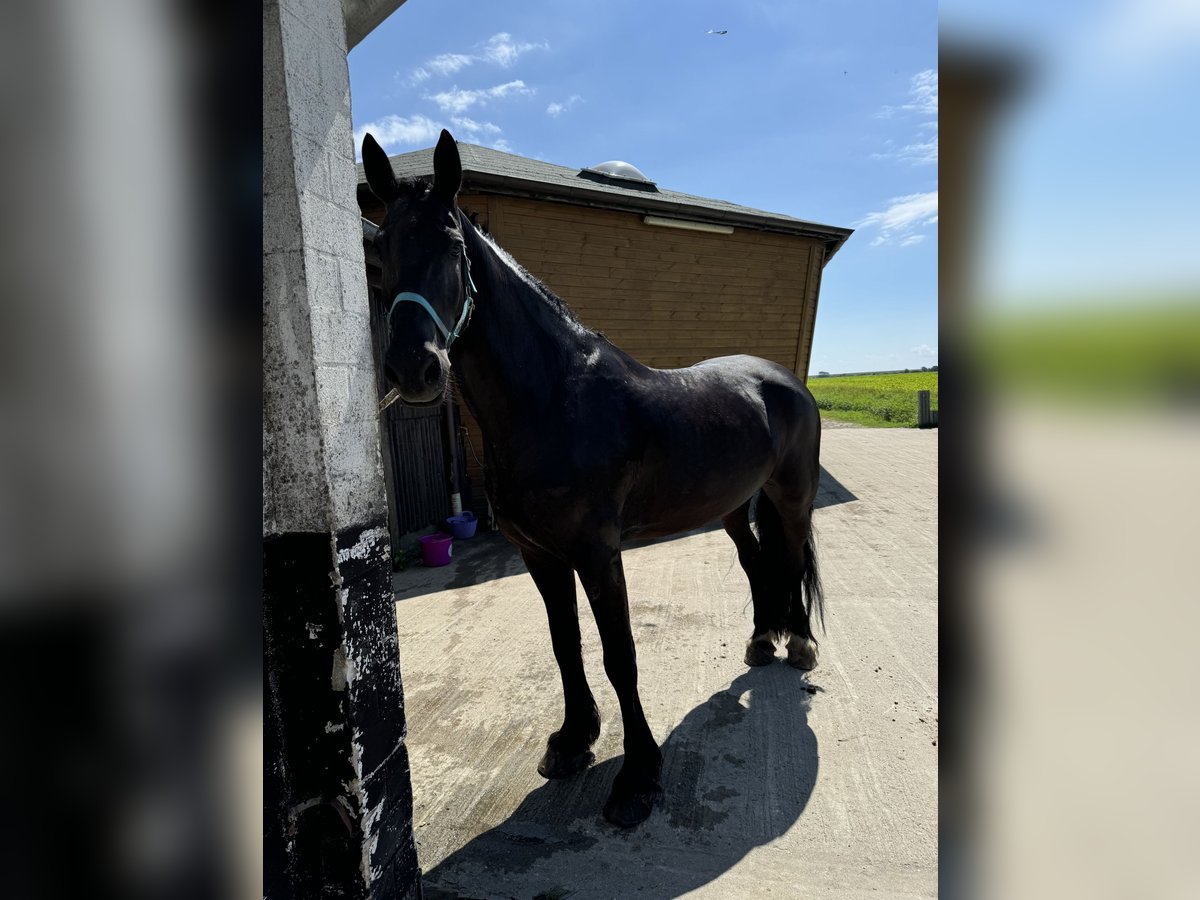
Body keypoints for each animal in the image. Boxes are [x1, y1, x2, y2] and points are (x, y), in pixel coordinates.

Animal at [357, 130, 825, 830]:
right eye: (382, 248)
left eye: (451, 243)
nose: (414, 369)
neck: (555, 400)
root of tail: (782, 379)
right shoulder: (541, 556)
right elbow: (566, 645)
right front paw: (572, 741)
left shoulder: (598, 554)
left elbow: (618, 655)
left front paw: (638, 777)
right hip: (733, 507)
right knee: (756, 562)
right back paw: (762, 639)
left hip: (791, 498)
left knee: (790, 558)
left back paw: (798, 643)